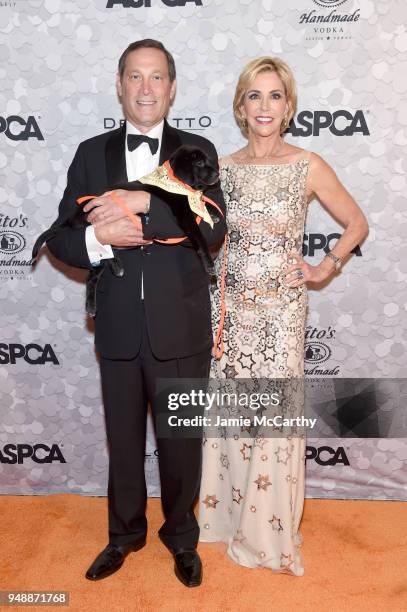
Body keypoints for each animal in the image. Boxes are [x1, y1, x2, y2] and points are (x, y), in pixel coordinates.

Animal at [32, 146, 222, 318]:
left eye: (208, 160)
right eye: (199, 163)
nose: (217, 175)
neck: (176, 182)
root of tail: (74, 216)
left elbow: (204, 203)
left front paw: (214, 213)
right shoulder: (182, 213)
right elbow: (198, 236)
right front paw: (208, 264)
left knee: (93, 273)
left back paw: (96, 298)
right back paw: (115, 267)